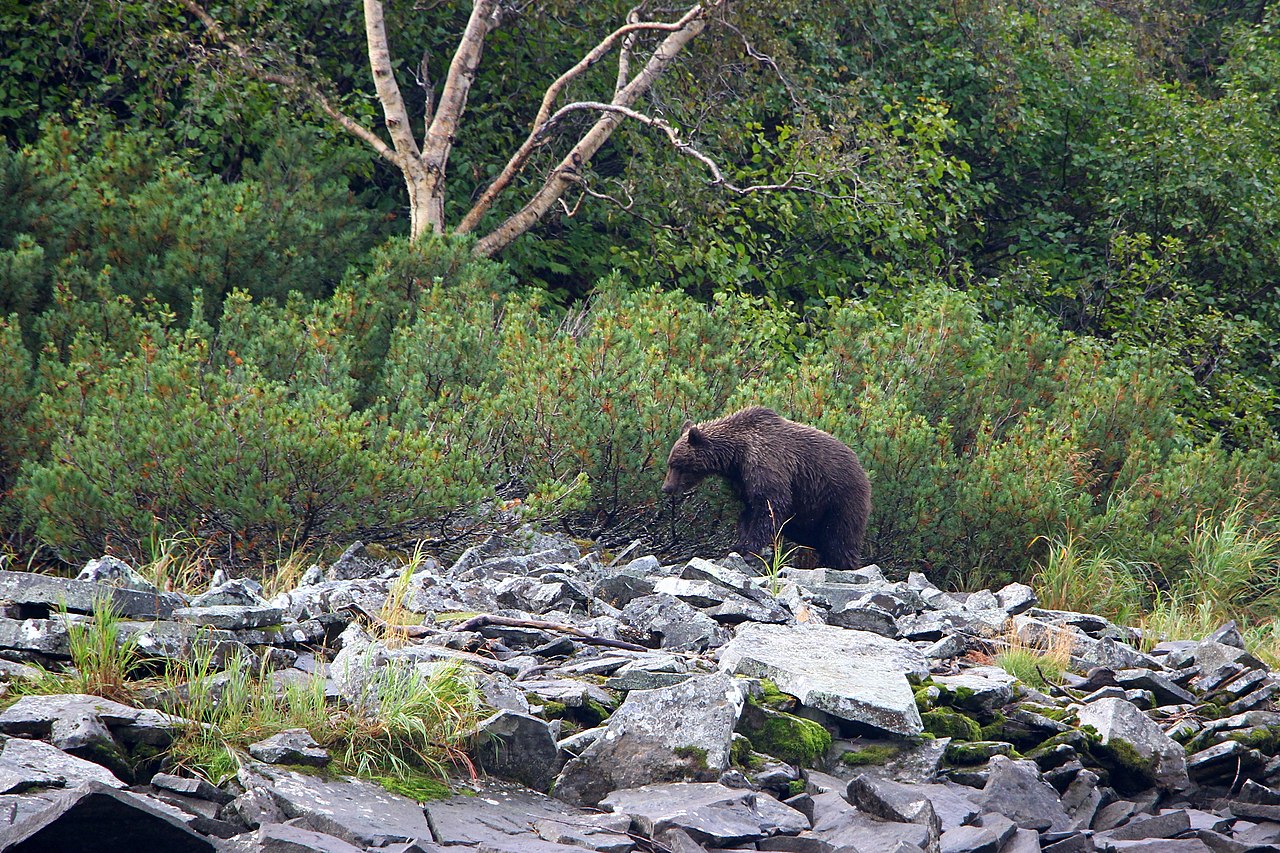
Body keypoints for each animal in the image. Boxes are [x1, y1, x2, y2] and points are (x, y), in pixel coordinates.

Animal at [660, 407, 870, 568]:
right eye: (670, 463)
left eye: (677, 465)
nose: (666, 488)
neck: (736, 454)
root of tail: (862, 469)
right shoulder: (742, 479)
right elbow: (749, 510)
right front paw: (739, 544)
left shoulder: (766, 462)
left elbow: (770, 505)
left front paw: (749, 548)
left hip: (839, 498)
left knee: (840, 538)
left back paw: (840, 564)